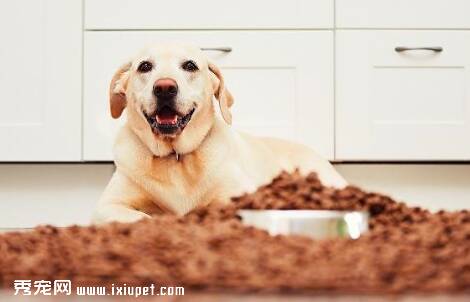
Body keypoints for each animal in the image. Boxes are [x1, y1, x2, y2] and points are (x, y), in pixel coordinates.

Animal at [92, 42, 348, 223]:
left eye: (190, 66)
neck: (176, 157)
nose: (165, 88)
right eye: (144, 66)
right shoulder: (107, 206)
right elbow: (142, 218)